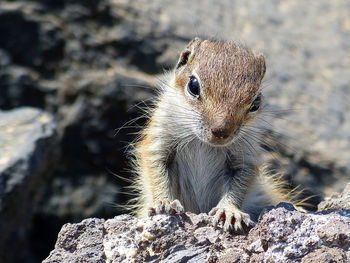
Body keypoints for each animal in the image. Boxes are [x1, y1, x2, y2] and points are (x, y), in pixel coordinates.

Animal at [129, 37, 306, 233]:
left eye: (257, 101)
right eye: (193, 85)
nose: (221, 131)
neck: (203, 143)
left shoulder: (244, 158)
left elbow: (240, 184)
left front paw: (229, 211)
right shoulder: (158, 143)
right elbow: (156, 173)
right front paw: (164, 202)